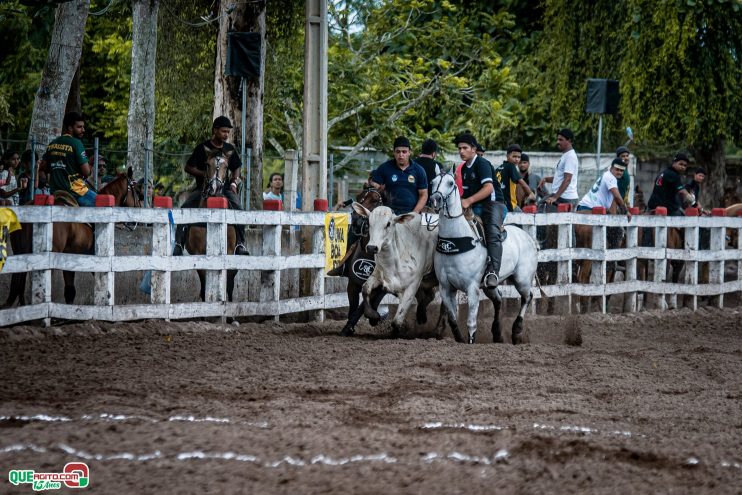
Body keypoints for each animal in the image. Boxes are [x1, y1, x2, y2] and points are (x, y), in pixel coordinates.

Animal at [183, 147, 238, 302]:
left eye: (226, 166)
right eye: (207, 165)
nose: (215, 188)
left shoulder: (229, 251)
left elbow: (228, 283)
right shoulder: (200, 253)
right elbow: (204, 287)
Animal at [430, 172, 540, 342]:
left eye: (451, 183)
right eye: (432, 182)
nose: (435, 199)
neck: (455, 240)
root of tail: (529, 238)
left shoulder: (472, 288)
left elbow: (471, 322)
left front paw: (470, 340)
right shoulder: (445, 288)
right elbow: (452, 319)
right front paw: (460, 339)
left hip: (522, 279)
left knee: (527, 297)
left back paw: (516, 330)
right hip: (490, 287)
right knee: (498, 299)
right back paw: (497, 333)